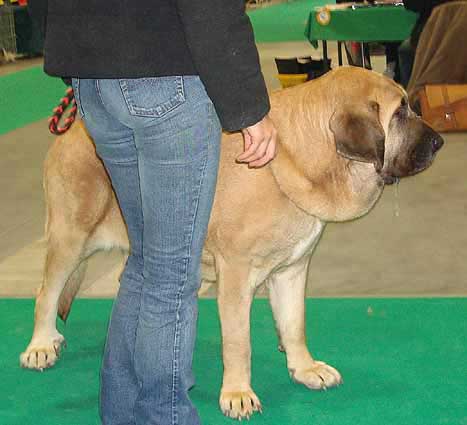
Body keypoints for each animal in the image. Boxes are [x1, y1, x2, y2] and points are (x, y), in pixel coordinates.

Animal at [19, 68, 442, 420]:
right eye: (399, 112)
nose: (439, 141)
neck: (302, 157)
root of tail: (72, 131)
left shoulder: (292, 271)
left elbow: (294, 324)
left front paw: (305, 368)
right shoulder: (236, 276)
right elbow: (239, 342)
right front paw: (237, 394)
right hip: (71, 238)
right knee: (46, 293)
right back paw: (41, 345)